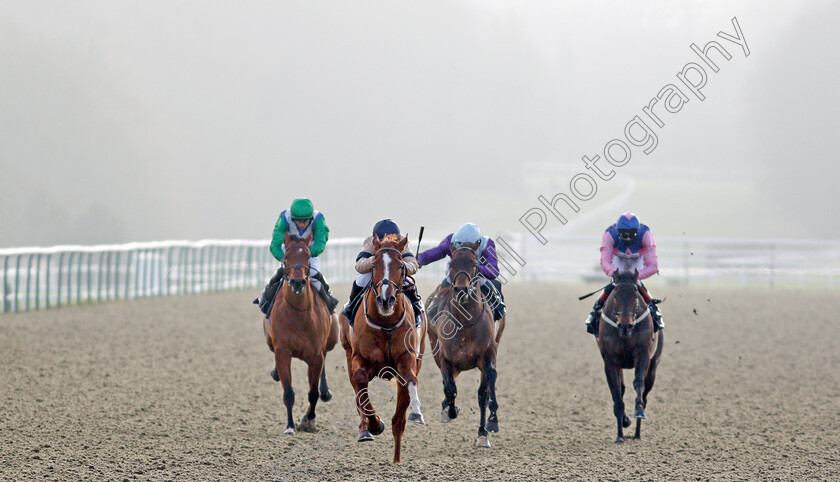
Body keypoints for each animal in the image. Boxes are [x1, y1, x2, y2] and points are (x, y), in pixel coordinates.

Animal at [264, 234, 340, 436]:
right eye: (285, 257)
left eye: (307, 256)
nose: (297, 282)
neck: (298, 315)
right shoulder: (282, 352)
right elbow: (288, 392)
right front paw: (290, 426)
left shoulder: (315, 355)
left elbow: (313, 392)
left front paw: (308, 419)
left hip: (331, 340)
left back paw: (325, 392)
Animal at [338, 233, 426, 464]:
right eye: (375, 264)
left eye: (401, 265)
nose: (386, 299)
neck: (386, 323)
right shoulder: (360, 358)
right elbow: (360, 383)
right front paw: (375, 424)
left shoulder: (407, 358)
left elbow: (410, 380)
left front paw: (416, 412)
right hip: (348, 353)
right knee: (356, 388)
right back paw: (365, 430)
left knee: (399, 420)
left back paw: (396, 459)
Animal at [426, 245, 498, 448]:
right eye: (452, 263)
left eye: (474, 264)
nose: (461, 290)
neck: (465, 324)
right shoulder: (445, 358)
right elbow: (450, 388)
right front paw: (450, 411)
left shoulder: (488, 355)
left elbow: (485, 390)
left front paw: (488, 426)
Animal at [596, 270, 664, 442]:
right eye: (615, 295)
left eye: (635, 296)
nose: (625, 326)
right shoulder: (610, 361)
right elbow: (617, 391)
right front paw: (620, 434)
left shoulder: (643, 355)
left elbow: (638, 383)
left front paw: (638, 411)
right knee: (622, 388)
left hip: (653, 365)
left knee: (645, 392)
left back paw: (637, 433)